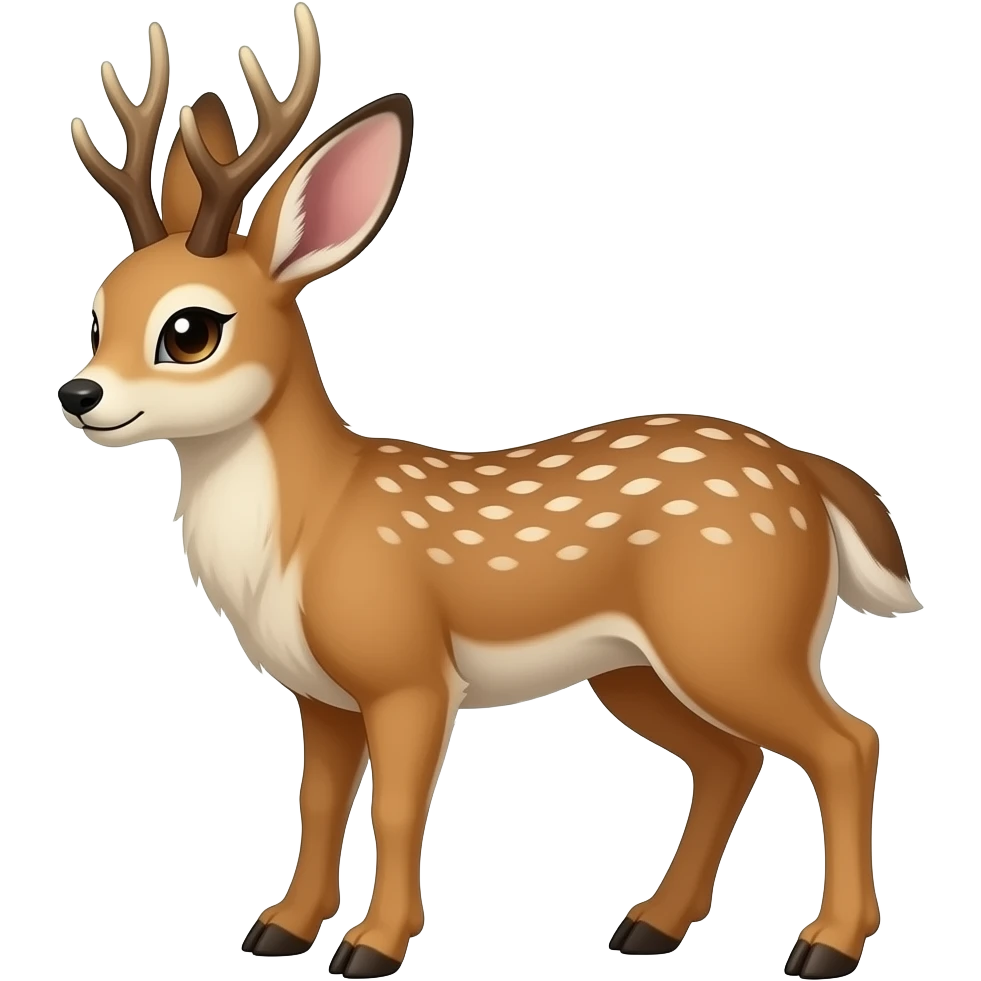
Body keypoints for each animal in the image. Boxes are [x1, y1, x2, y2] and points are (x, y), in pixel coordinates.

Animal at [59, 6, 920, 979]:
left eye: (190, 330)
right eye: (99, 312)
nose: (78, 394)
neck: (307, 531)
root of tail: (810, 473)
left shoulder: (408, 668)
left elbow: (399, 809)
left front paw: (372, 945)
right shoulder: (321, 693)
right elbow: (316, 803)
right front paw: (279, 927)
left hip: (736, 634)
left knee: (847, 742)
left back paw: (825, 944)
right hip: (637, 667)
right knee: (731, 759)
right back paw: (651, 925)